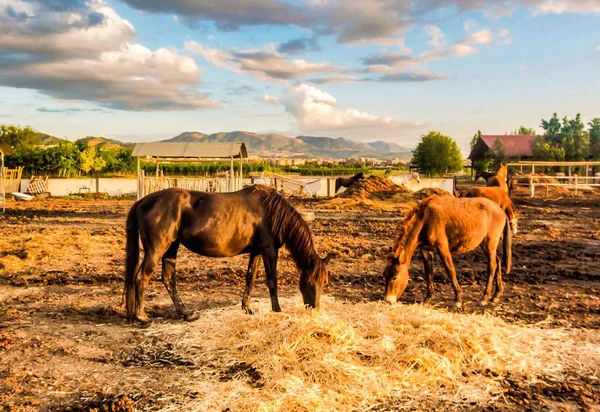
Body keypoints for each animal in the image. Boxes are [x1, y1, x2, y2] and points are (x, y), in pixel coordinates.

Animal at [123, 185, 330, 324]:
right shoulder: (269, 250)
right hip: (157, 249)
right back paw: (141, 316)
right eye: (309, 282)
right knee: (141, 277)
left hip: (171, 247)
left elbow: (250, 278)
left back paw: (185, 313)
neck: (272, 213)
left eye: (324, 283)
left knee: (168, 279)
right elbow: (272, 282)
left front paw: (247, 308)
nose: (315, 311)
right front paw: (277, 311)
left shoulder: (256, 251)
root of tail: (143, 201)